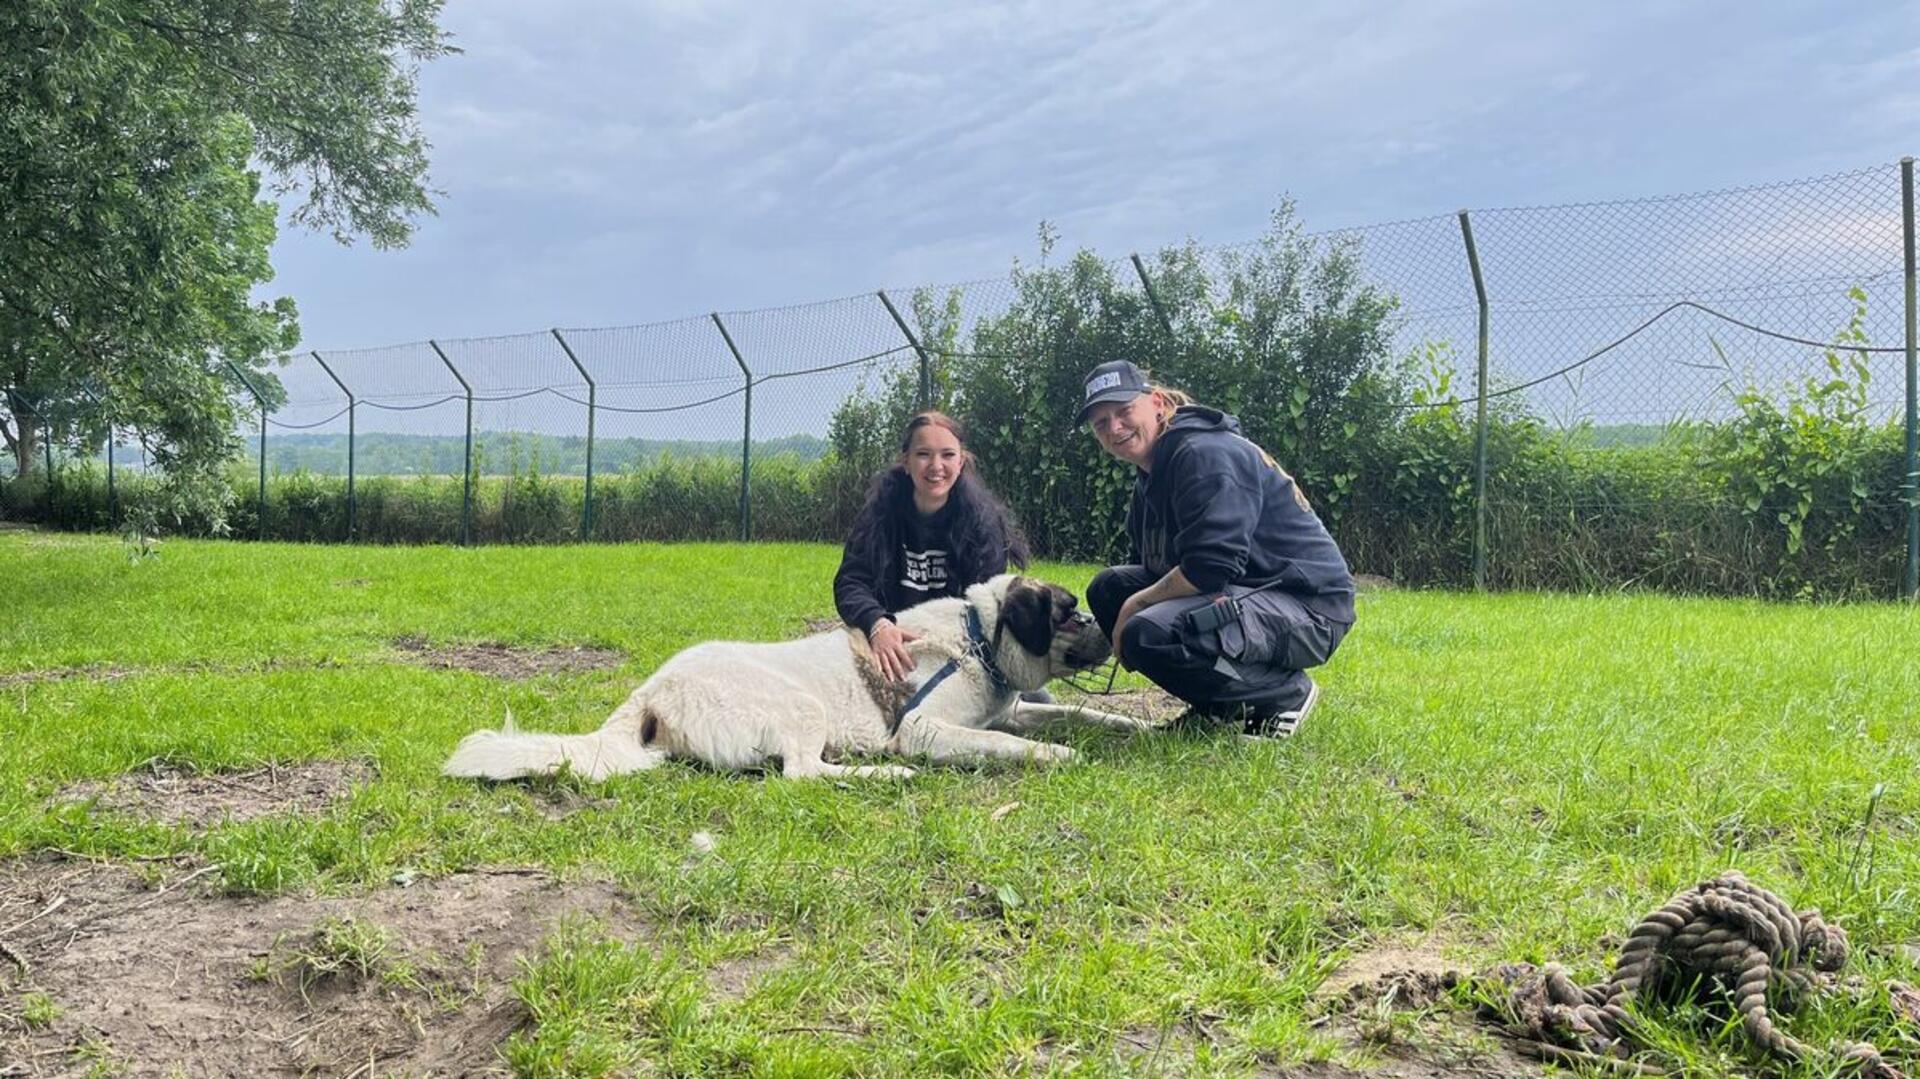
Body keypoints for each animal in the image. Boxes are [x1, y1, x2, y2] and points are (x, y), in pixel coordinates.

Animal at [441, 572, 1144, 779]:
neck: (978, 637)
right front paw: (1056, 755)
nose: (1106, 625)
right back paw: (885, 775)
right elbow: (1001, 742)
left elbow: (1071, 709)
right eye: (1067, 611)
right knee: (802, 773)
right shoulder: (923, 729)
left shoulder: (1015, 706)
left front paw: (1123, 723)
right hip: (805, 705)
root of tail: (649, 690)